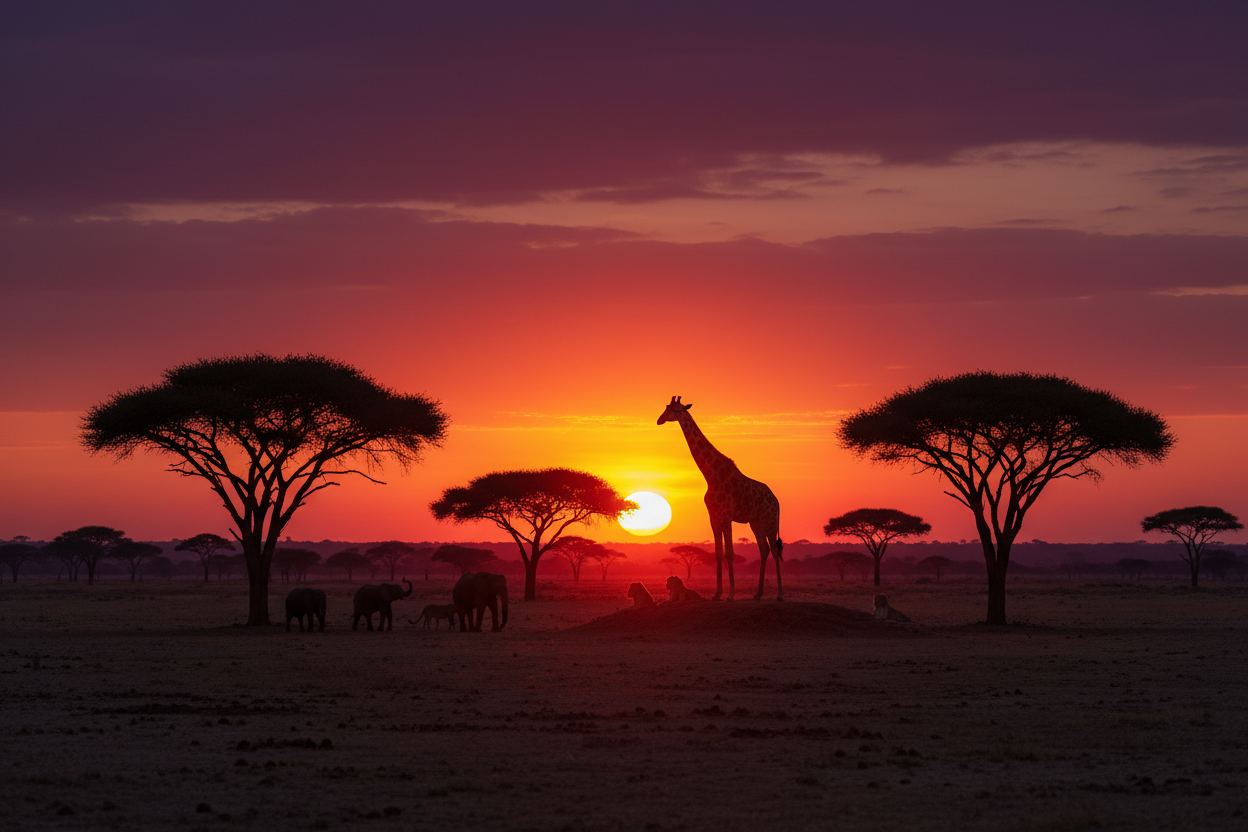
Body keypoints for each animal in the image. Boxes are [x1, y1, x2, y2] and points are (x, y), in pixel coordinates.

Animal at [658, 396, 783, 601]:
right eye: (666, 407)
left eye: (676, 410)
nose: (659, 420)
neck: (711, 476)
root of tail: (776, 500)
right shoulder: (714, 517)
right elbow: (717, 553)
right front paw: (717, 594)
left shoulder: (726, 516)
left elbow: (730, 553)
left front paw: (731, 594)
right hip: (755, 522)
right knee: (764, 549)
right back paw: (758, 594)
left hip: (770, 520)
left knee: (773, 549)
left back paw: (780, 594)